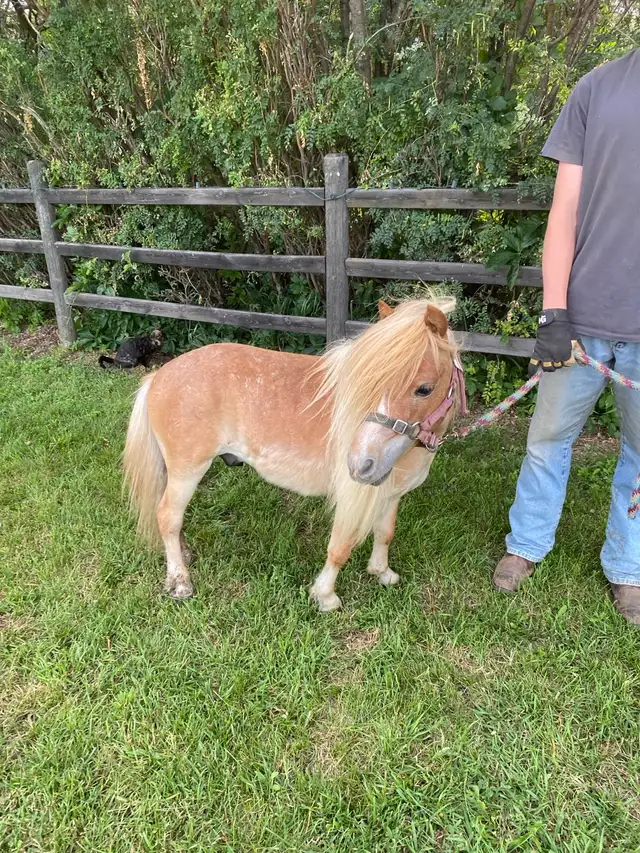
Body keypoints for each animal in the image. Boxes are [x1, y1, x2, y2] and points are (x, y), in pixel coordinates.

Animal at [123, 296, 464, 611]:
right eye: (369, 385)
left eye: (424, 389)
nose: (360, 464)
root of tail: (159, 376)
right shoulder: (354, 495)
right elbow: (340, 546)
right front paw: (325, 596)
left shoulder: (390, 494)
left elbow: (385, 533)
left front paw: (382, 573)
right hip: (188, 470)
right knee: (168, 516)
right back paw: (180, 581)